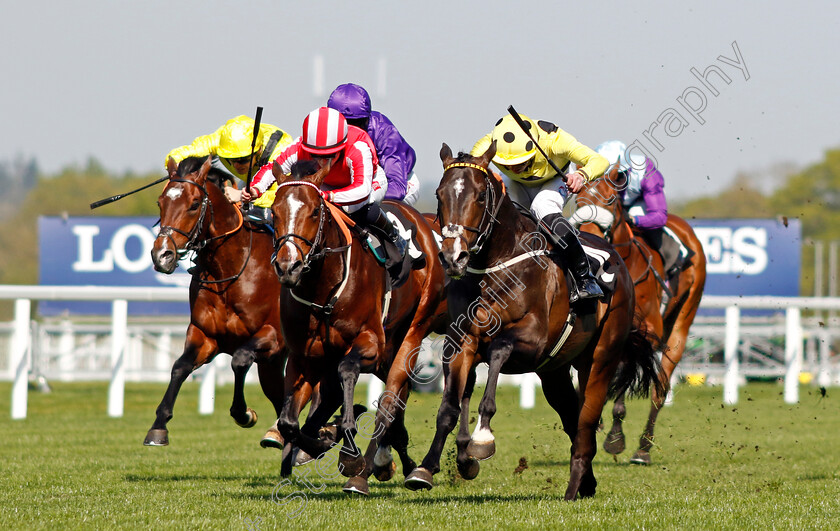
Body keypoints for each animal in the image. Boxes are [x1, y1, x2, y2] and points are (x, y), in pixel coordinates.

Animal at [146, 157, 288, 448]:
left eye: (194, 204)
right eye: (160, 202)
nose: (162, 255)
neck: (232, 271)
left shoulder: (274, 336)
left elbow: (240, 360)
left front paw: (245, 413)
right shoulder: (205, 335)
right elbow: (179, 367)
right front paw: (158, 427)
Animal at [272, 160, 450, 496]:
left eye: (314, 212)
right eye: (274, 211)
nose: (288, 266)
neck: (323, 289)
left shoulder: (370, 343)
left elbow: (348, 371)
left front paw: (350, 451)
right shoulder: (304, 356)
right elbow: (289, 422)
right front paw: (320, 441)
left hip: (413, 330)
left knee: (391, 398)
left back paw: (373, 469)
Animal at [404, 143, 668, 500]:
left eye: (480, 197)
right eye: (440, 194)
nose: (453, 256)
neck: (496, 264)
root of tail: (618, 262)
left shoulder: (532, 341)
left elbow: (499, 351)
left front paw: (482, 439)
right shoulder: (461, 342)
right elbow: (449, 407)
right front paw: (426, 468)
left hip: (599, 360)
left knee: (586, 422)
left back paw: (573, 488)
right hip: (554, 373)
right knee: (572, 419)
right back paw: (586, 483)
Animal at [572, 167, 708, 466]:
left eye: (611, 200)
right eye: (577, 200)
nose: (587, 234)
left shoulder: (647, 332)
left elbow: (625, 373)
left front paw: (615, 437)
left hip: (681, 325)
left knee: (660, 389)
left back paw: (643, 448)